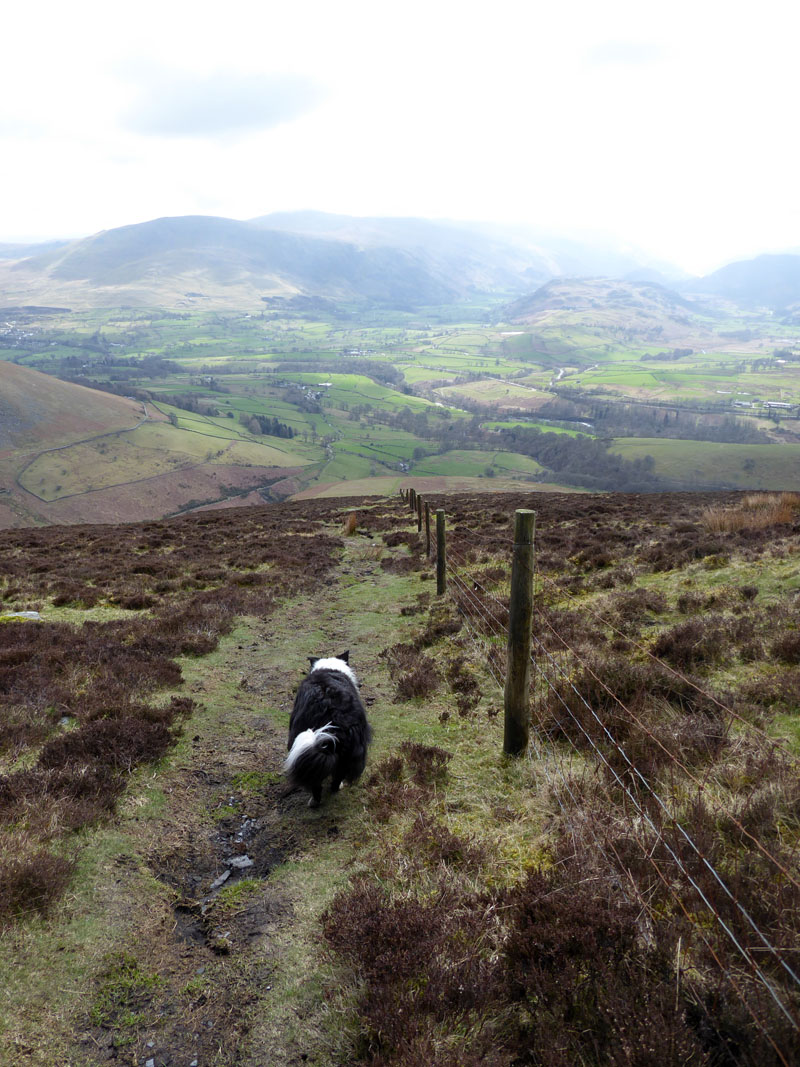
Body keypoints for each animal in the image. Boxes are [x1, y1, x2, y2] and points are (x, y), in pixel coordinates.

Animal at [285, 648, 373, 806]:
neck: (330, 667)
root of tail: (333, 709)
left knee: (317, 781)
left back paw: (315, 801)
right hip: (350, 747)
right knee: (337, 775)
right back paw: (333, 790)